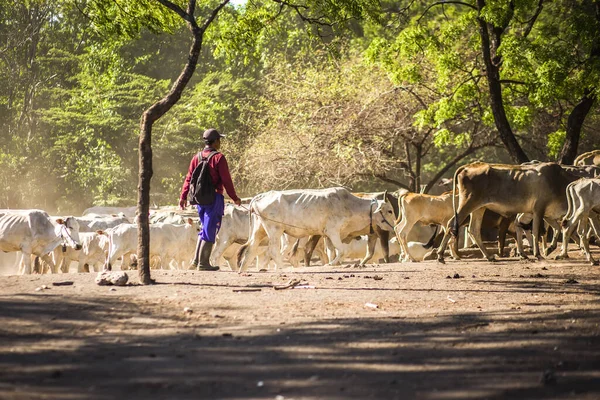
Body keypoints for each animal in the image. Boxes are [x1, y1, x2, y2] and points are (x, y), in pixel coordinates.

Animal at [237, 188, 396, 272]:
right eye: (389, 211)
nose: (394, 227)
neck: (349, 205)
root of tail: (260, 196)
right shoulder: (333, 231)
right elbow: (342, 250)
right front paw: (330, 264)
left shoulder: (328, 236)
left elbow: (332, 252)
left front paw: (332, 263)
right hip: (275, 230)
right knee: (273, 251)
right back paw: (282, 268)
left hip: (260, 230)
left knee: (251, 249)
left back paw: (245, 269)